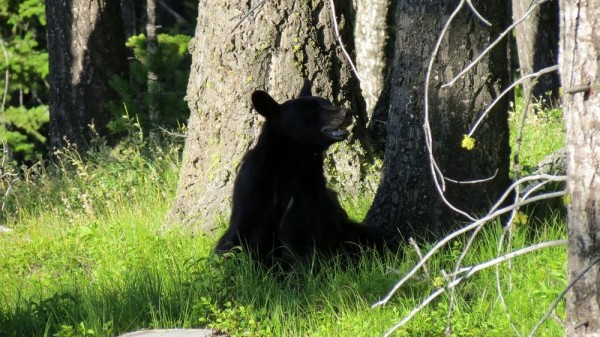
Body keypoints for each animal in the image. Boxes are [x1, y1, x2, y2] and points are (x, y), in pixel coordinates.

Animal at [213, 80, 378, 264]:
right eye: (312, 110)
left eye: (327, 102)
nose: (347, 112)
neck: (293, 160)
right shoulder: (254, 191)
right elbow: (239, 241)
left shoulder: (307, 191)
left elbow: (299, 241)